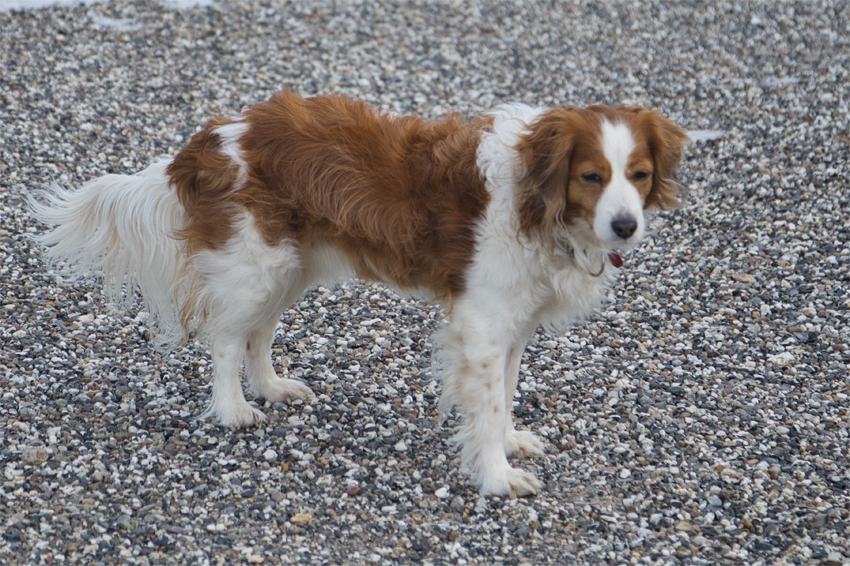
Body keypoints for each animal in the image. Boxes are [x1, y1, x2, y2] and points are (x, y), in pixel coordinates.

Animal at [29, 91, 684, 500]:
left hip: (291, 266)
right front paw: (497, 477)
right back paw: (234, 409)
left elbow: (504, 393)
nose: (626, 226)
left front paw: (507, 445)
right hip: (257, 265)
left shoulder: (513, 323)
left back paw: (271, 388)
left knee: (258, 333)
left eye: (640, 176)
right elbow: (488, 402)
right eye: (591, 177)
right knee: (225, 338)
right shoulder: (483, 321)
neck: (534, 198)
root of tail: (205, 140)